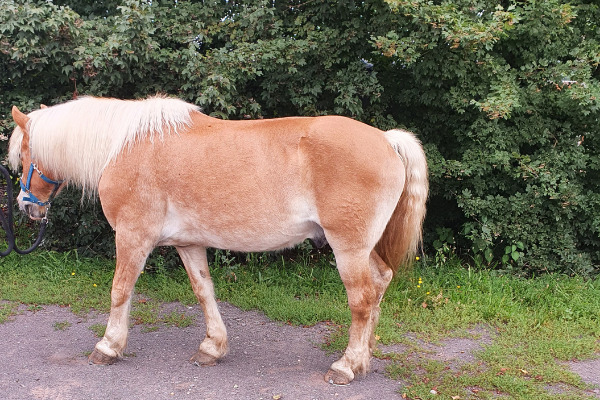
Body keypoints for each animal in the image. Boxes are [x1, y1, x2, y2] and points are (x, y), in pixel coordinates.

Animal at [8, 95, 426, 386]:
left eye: (25, 152)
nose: (26, 206)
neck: (124, 146)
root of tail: (387, 140)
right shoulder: (188, 243)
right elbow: (204, 291)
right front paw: (213, 346)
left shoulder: (132, 237)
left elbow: (120, 290)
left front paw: (108, 346)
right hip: (363, 249)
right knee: (381, 283)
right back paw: (363, 358)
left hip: (348, 249)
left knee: (362, 300)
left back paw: (346, 366)